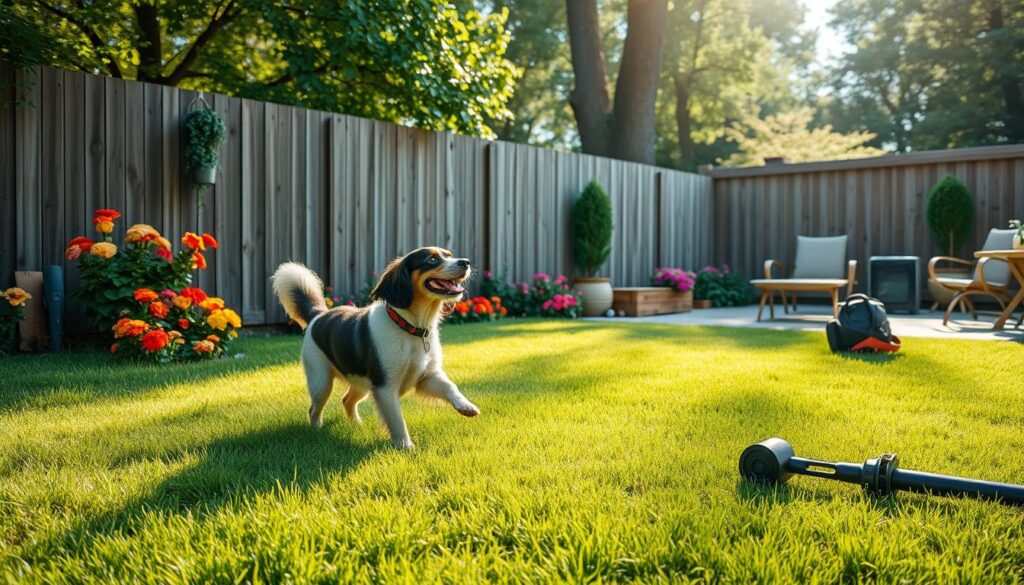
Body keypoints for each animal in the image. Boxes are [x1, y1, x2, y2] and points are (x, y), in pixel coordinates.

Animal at [272, 245, 479, 448]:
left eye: (449, 255)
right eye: (432, 260)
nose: (466, 262)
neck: (409, 327)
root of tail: (318, 315)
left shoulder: (427, 377)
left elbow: (450, 386)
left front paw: (466, 406)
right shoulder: (384, 386)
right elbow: (397, 420)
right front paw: (406, 447)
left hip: (360, 382)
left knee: (346, 400)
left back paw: (357, 424)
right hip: (320, 381)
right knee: (314, 408)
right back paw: (317, 429)